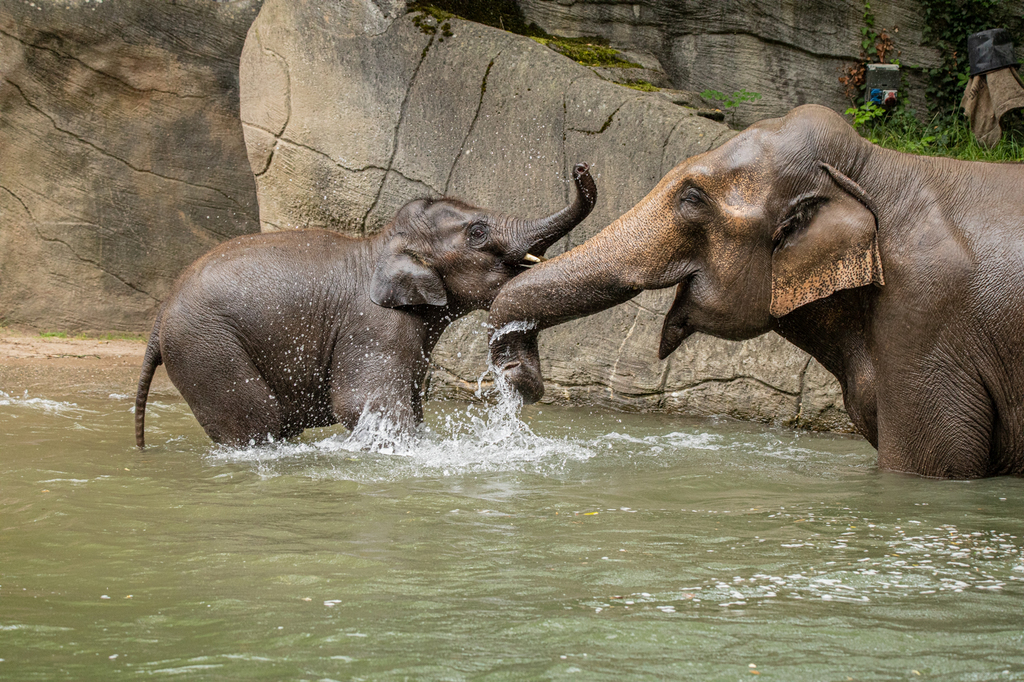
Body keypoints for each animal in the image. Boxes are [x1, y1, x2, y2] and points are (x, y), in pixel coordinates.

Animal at [137, 161, 598, 444]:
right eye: (478, 233)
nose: (580, 167)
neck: (380, 243)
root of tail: (158, 321)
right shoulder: (373, 326)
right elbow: (365, 403)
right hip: (207, 350)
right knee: (257, 422)